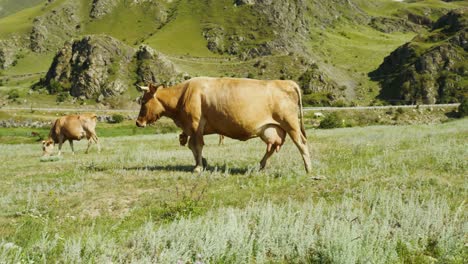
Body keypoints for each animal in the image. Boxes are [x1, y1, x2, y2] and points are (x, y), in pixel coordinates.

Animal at [135, 76, 310, 173]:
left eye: (143, 101)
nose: (138, 122)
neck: (182, 96)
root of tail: (287, 83)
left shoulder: (195, 125)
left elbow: (197, 145)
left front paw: (198, 167)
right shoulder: (192, 129)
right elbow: (192, 147)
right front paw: (202, 162)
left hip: (291, 123)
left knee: (301, 143)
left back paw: (308, 168)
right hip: (272, 128)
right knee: (272, 147)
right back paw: (260, 165)